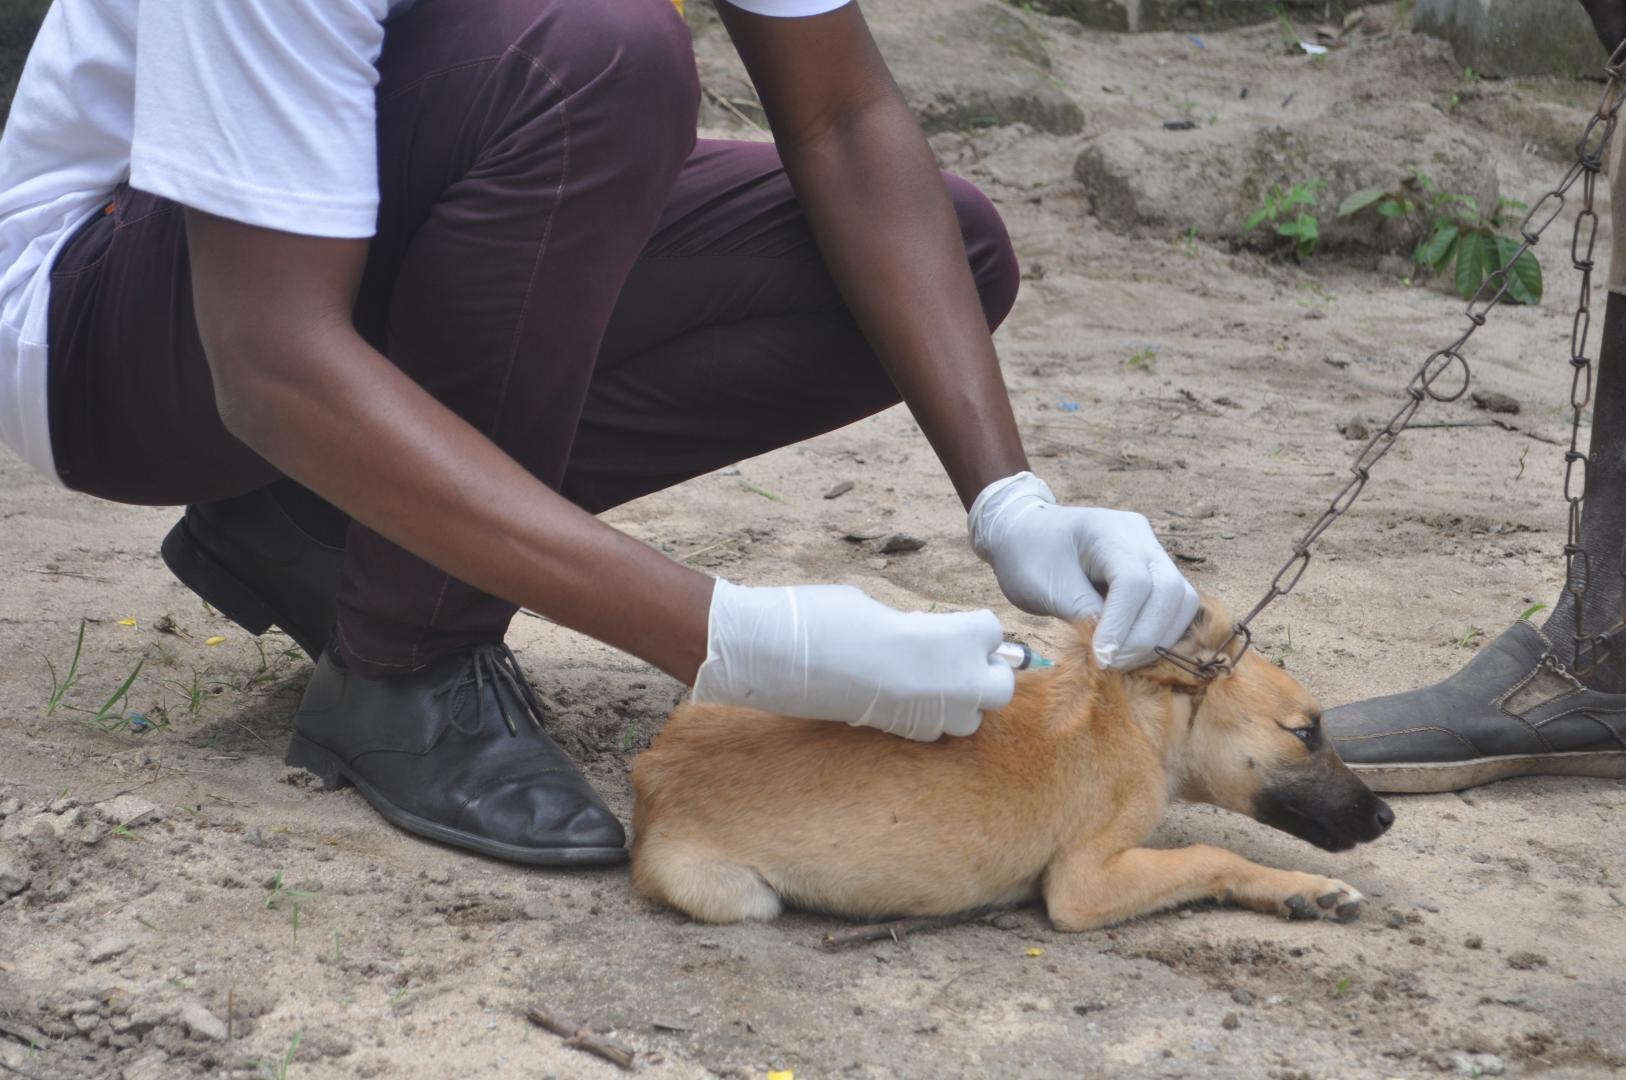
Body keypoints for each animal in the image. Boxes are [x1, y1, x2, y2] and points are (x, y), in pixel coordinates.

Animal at [627, 601, 1391, 930]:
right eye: (1306, 733)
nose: (1385, 816)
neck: (1135, 720)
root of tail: (651, 774)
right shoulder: (1083, 885)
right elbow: (1209, 855)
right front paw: (1303, 887)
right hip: (738, 895)